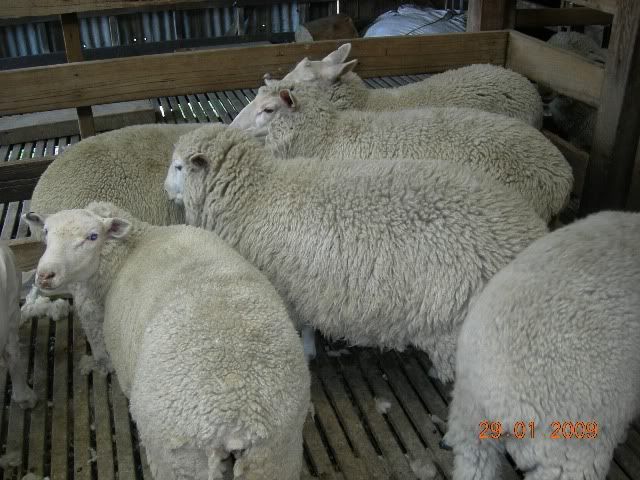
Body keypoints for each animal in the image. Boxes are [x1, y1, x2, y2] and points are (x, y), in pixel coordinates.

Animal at [24, 202, 310, 480]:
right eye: (46, 232)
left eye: (93, 236)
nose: (45, 275)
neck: (136, 246)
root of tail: (237, 421)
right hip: (275, 456)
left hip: (179, 461)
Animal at [173, 124, 548, 382]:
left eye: (178, 167)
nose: (166, 189)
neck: (257, 194)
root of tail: (532, 235)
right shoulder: (304, 287)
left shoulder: (286, 286)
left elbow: (301, 327)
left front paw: (306, 352)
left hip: (459, 329)